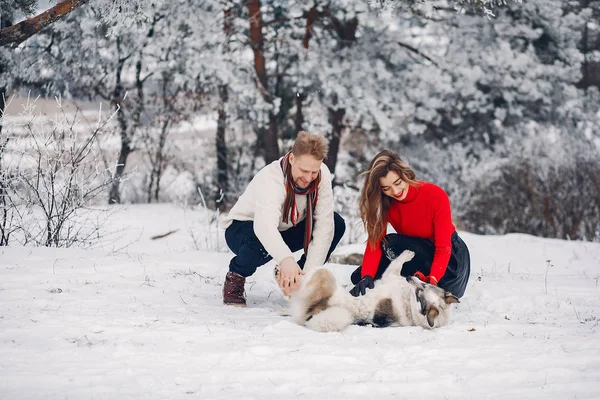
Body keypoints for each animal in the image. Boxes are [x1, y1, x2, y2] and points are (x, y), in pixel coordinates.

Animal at [290, 250, 460, 332]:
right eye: (424, 284)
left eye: (420, 291)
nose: (410, 277)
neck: (410, 303)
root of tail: (313, 313)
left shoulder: (389, 275)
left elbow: (397, 262)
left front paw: (407, 253)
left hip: (324, 276)